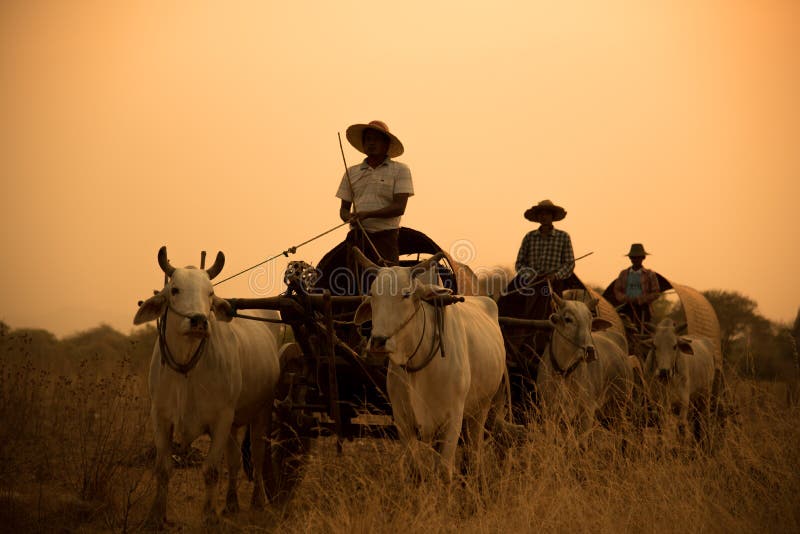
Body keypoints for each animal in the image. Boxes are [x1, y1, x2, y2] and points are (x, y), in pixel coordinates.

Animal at [138, 247, 284, 528]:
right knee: (235, 460)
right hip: (236, 421)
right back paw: (231, 504)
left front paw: (208, 516)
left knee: (258, 457)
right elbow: (163, 469)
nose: (198, 321)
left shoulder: (221, 419)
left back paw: (257, 501)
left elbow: (211, 470)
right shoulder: (160, 416)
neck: (186, 367)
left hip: (262, 410)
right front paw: (156, 515)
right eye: (175, 289)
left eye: (210, 292)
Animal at [352, 251, 504, 482]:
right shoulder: (403, 422)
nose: (377, 342)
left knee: (475, 449)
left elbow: (443, 472)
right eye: (373, 295)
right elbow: (416, 471)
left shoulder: (453, 420)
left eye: (406, 294)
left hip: (482, 407)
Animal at [536, 296, 636, 450]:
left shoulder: (586, 413)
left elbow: (581, 446)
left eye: (590, 322)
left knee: (621, 433)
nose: (590, 351)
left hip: (620, 403)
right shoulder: (550, 412)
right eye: (568, 319)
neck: (564, 372)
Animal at [648, 320, 716, 450]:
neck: (667, 382)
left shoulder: (684, 402)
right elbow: (660, 427)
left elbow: (681, 426)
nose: (664, 371)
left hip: (705, 396)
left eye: (675, 346)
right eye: (654, 346)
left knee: (704, 419)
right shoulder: (656, 403)